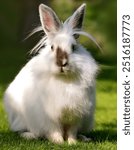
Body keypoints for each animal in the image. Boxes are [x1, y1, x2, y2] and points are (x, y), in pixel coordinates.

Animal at [3, 3, 99, 144]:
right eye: (52, 47)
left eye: (73, 47)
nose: (62, 63)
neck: (63, 79)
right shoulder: (49, 117)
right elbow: (55, 131)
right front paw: (59, 142)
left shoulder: (76, 115)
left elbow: (71, 131)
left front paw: (72, 142)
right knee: (20, 130)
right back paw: (29, 136)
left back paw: (84, 138)